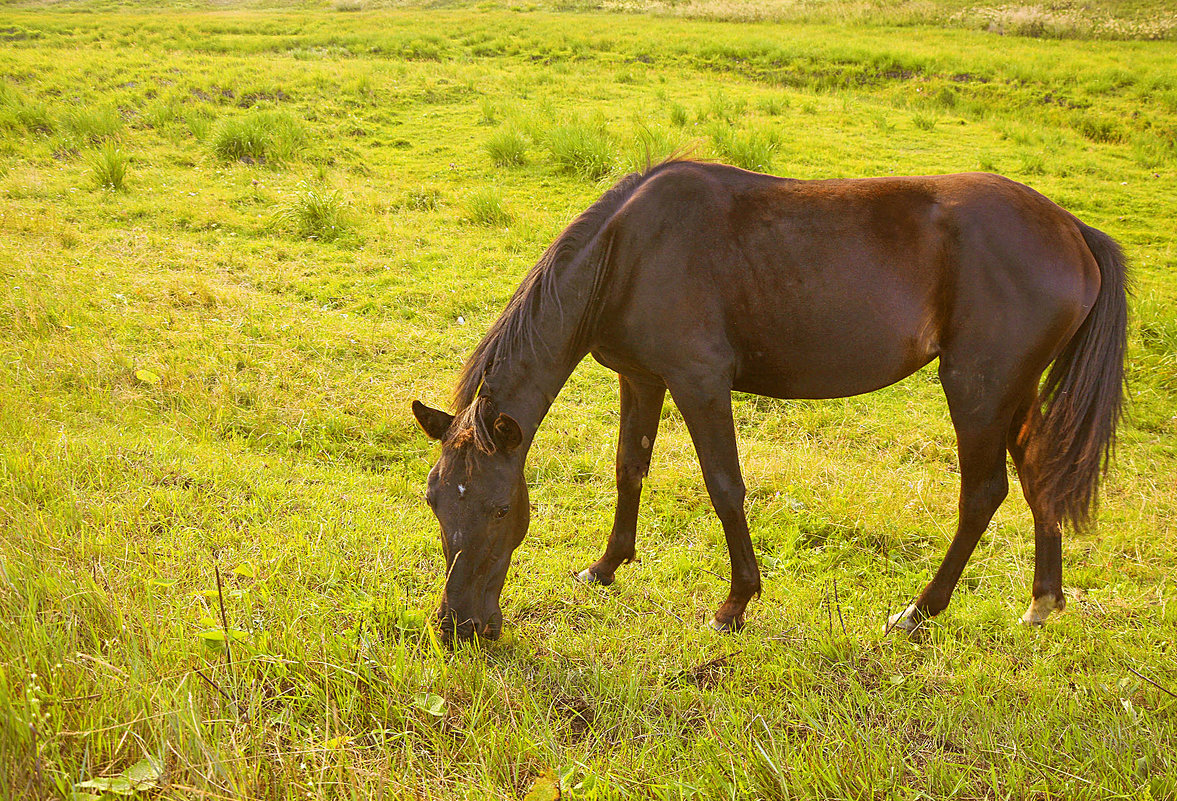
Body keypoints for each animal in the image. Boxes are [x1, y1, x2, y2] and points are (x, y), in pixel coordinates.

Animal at [409, 158, 1125, 639]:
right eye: (436, 501)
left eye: (502, 509)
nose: (460, 628)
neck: (627, 252)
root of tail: (1071, 228)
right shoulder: (640, 377)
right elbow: (628, 468)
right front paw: (607, 566)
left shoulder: (699, 382)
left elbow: (725, 486)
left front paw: (736, 603)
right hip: (1012, 391)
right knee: (1037, 475)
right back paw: (1042, 601)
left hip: (977, 389)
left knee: (983, 494)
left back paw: (918, 612)